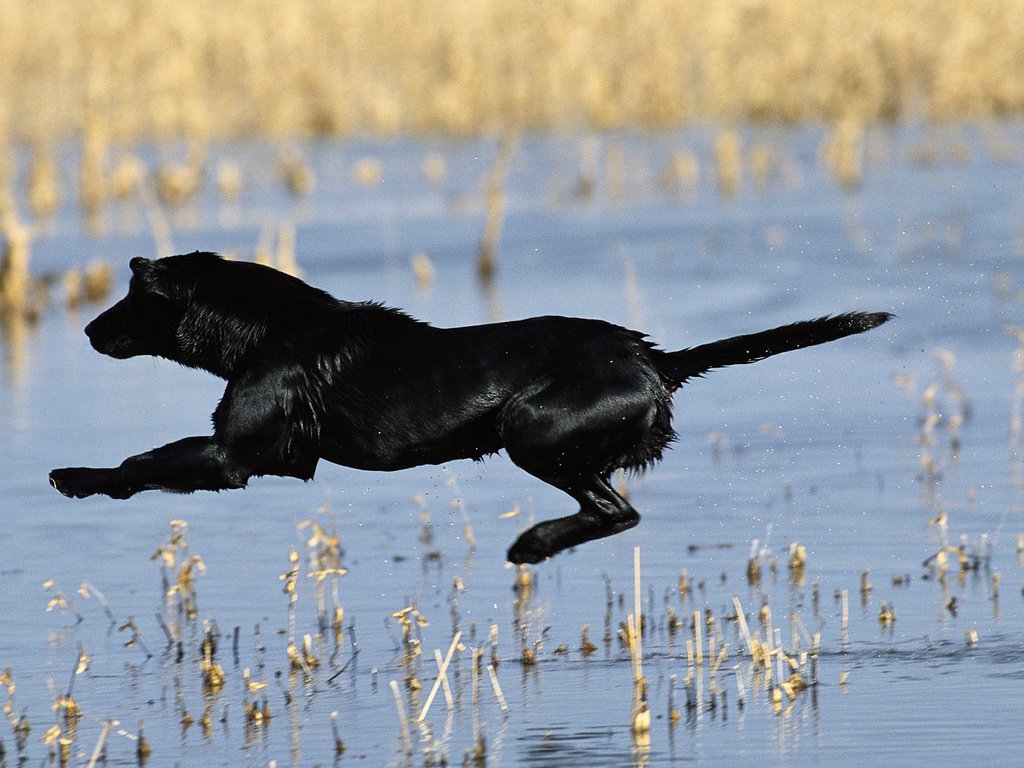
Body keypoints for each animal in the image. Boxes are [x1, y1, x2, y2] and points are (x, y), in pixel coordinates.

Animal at [51, 253, 892, 565]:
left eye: (134, 296)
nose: (88, 330)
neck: (263, 328)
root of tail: (654, 359)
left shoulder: (233, 458)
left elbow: (141, 461)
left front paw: (75, 479)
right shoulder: (277, 461)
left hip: (534, 432)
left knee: (615, 511)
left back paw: (532, 545)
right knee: (614, 509)